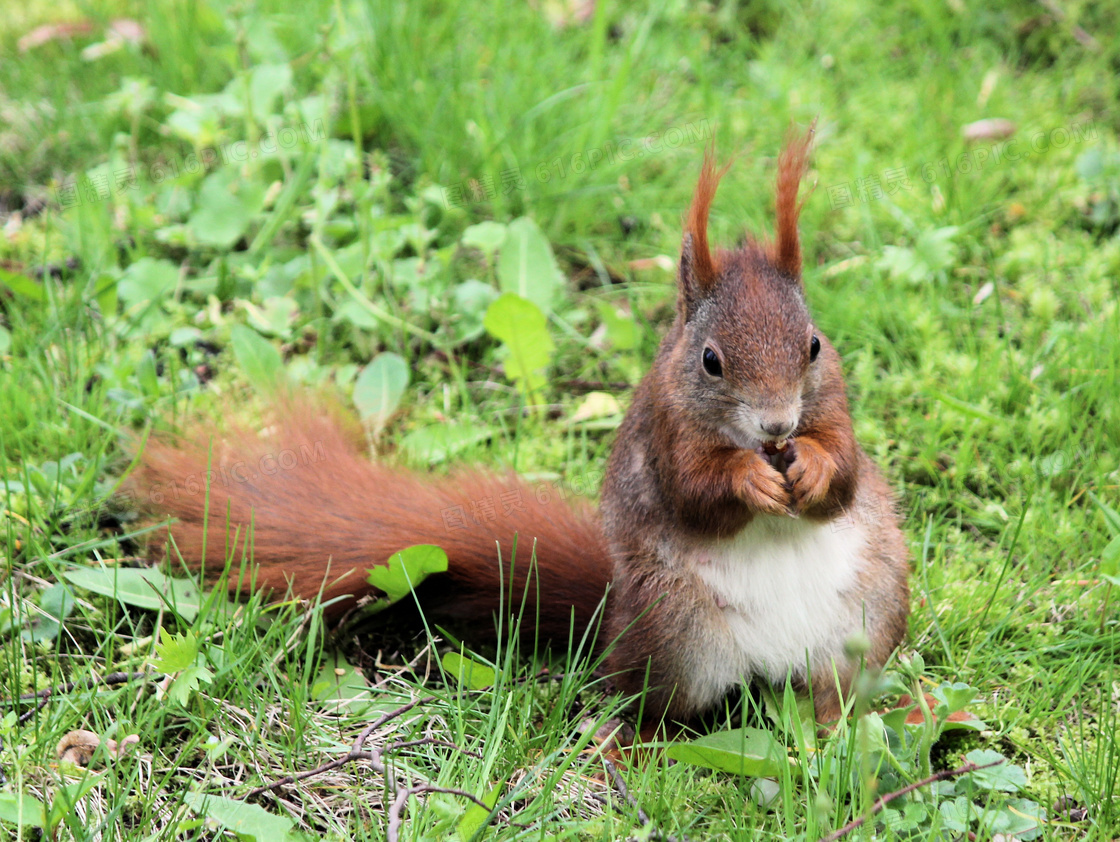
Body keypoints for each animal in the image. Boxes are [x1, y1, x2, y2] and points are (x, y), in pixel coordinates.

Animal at [135, 129, 913, 725]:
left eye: (814, 345)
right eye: (711, 361)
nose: (779, 423)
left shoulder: (834, 408)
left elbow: (845, 474)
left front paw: (811, 465)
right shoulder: (664, 436)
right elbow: (696, 493)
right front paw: (751, 477)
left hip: (869, 616)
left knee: (834, 698)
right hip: (677, 633)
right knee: (647, 708)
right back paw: (626, 748)